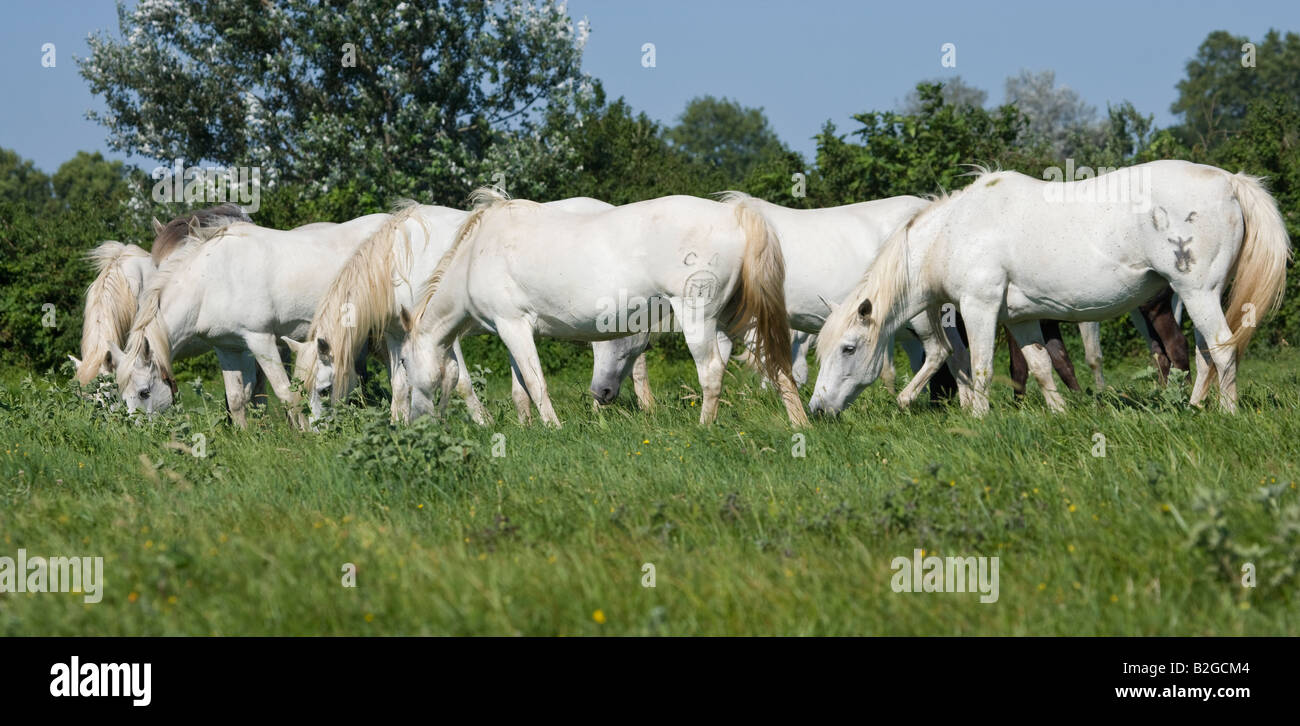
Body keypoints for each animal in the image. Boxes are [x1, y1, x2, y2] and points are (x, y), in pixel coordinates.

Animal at [110, 213, 390, 425]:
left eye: (144, 392)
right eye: (123, 395)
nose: (139, 431)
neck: (210, 282)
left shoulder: (261, 340)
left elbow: (286, 394)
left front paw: (303, 434)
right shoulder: (228, 348)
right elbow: (236, 398)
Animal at [403, 188, 807, 427]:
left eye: (403, 361)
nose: (412, 424)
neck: (476, 254)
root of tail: (734, 214)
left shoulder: (512, 325)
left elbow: (536, 383)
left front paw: (552, 428)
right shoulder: (512, 329)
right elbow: (521, 387)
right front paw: (527, 427)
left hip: (700, 317)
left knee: (711, 372)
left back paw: (705, 428)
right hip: (737, 318)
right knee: (776, 364)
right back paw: (799, 423)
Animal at [810, 160, 1290, 416]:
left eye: (849, 348)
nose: (816, 409)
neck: (954, 232)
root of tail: (1230, 182)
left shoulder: (980, 308)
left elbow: (982, 369)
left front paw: (978, 420)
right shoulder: (1019, 319)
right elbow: (1041, 366)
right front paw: (1058, 414)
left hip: (1197, 291)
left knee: (1222, 351)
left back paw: (1226, 413)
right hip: (1199, 296)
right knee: (1206, 352)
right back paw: (1193, 408)